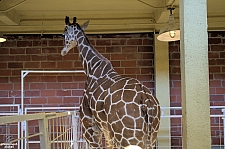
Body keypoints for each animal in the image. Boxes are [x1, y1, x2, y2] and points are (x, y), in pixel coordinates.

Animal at [61, 16, 160, 149]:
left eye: (63, 34)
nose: (63, 51)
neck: (91, 68)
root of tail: (145, 100)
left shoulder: (89, 126)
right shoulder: (106, 132)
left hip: (128, 138)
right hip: (151, 136)